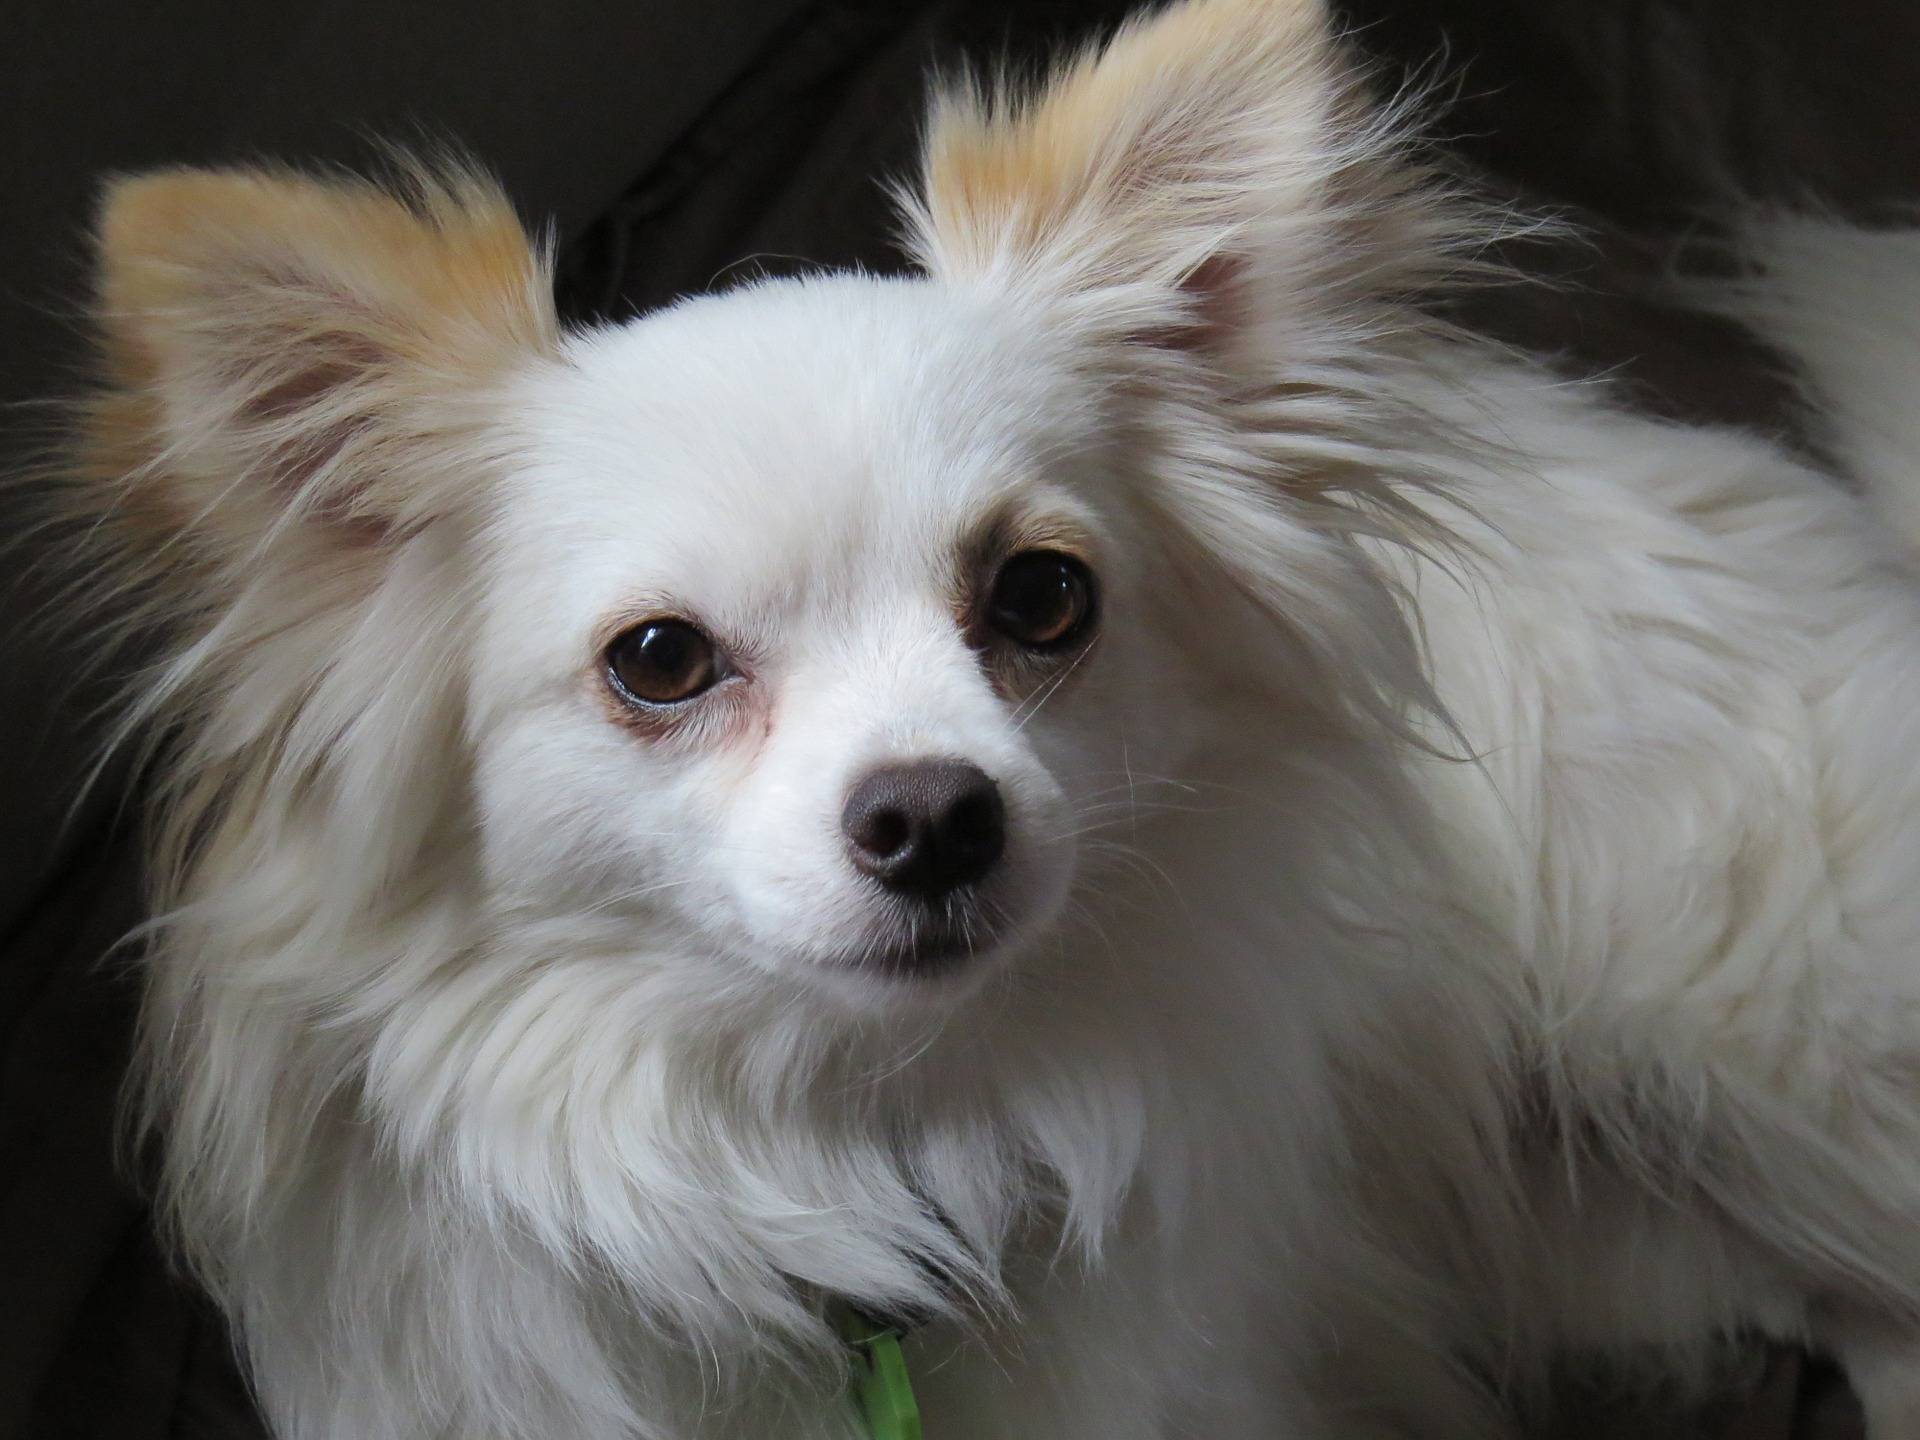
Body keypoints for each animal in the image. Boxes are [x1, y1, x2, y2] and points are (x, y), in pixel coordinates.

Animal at [41, 0, 1920, 1436]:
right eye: (660, 660)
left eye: (1041, 598)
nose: (936, 812)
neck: (863, 1163)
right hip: (1623, 1234)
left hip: (1757, 1030)